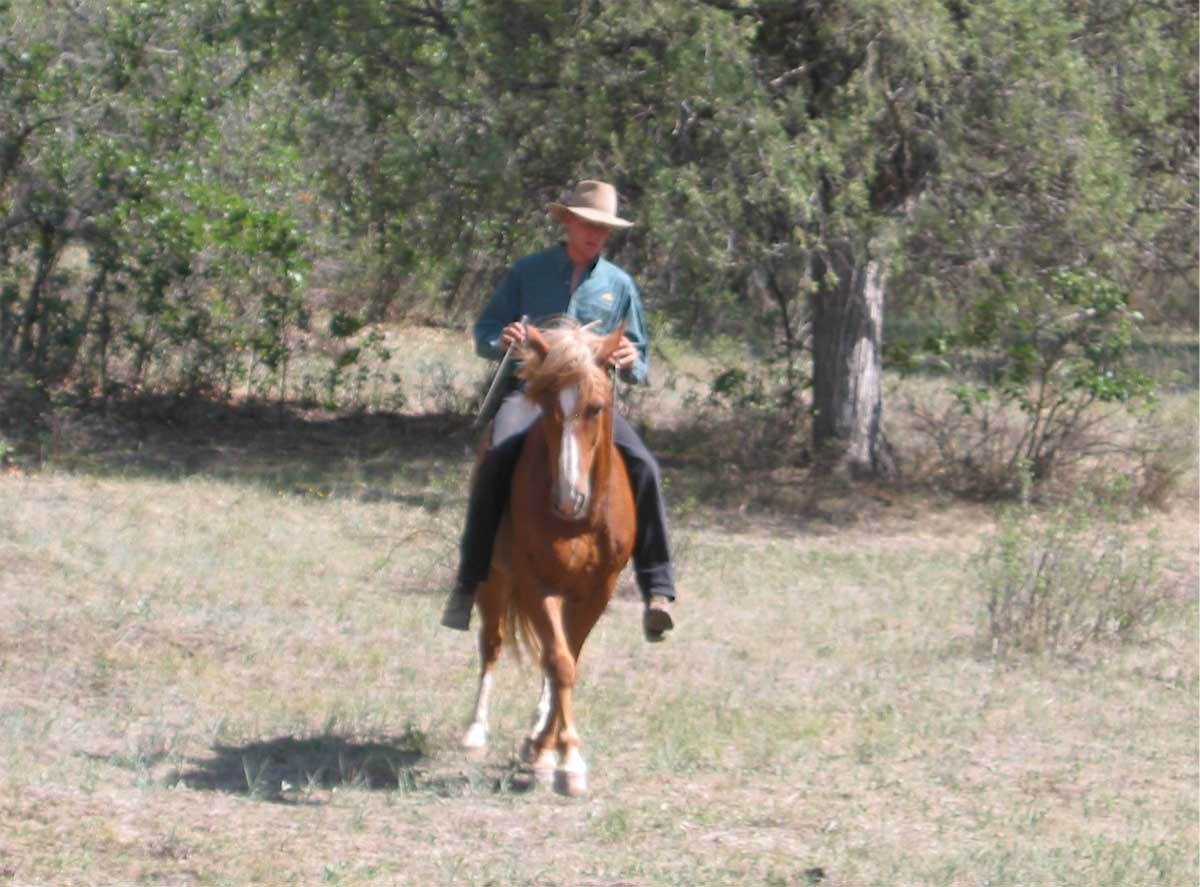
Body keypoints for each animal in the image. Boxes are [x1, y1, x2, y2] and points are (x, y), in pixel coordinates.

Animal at [458, 319, 638, 796]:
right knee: (493, 644)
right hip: (494, 581)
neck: (578, 523)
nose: (568, 498)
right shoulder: (536, 585)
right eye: (547, 407)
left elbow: (566, 661)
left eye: (596, 407)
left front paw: (551, 749)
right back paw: (476, 731)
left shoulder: (597, 591)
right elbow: (559, 663)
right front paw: (562, 756)